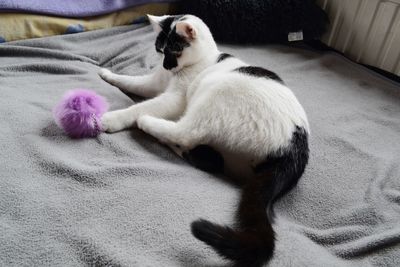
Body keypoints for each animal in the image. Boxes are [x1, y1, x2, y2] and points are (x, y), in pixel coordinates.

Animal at [99, 14, 310, 267]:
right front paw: (107, 74)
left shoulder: (174, 99)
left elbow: (138, 106)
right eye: (160, 50)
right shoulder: (154, 83)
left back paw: (147, 122)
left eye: (175, 50)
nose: (166, 65)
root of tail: (295, 148)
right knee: (207, 158)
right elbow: (132, 82)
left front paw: (114, 117)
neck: (204, 60)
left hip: (215, 97)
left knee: (185, 132)